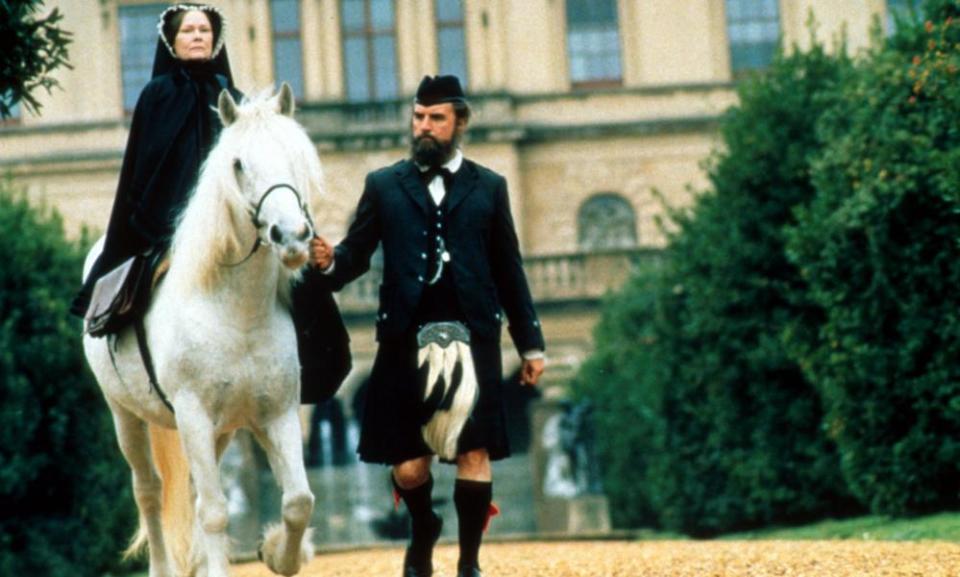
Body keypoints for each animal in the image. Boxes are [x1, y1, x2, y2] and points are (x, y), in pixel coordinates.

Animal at [81, 84, 318, 576]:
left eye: (296, 155)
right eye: (238, 163)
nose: (291, 237)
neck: (238, 314)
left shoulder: (278, 413)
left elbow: (298, 501)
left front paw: (279, 553)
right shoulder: (192, 415)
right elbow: (214, 512)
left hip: (219, 431)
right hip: (126, 415)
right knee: (149, 491)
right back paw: (163, 566)